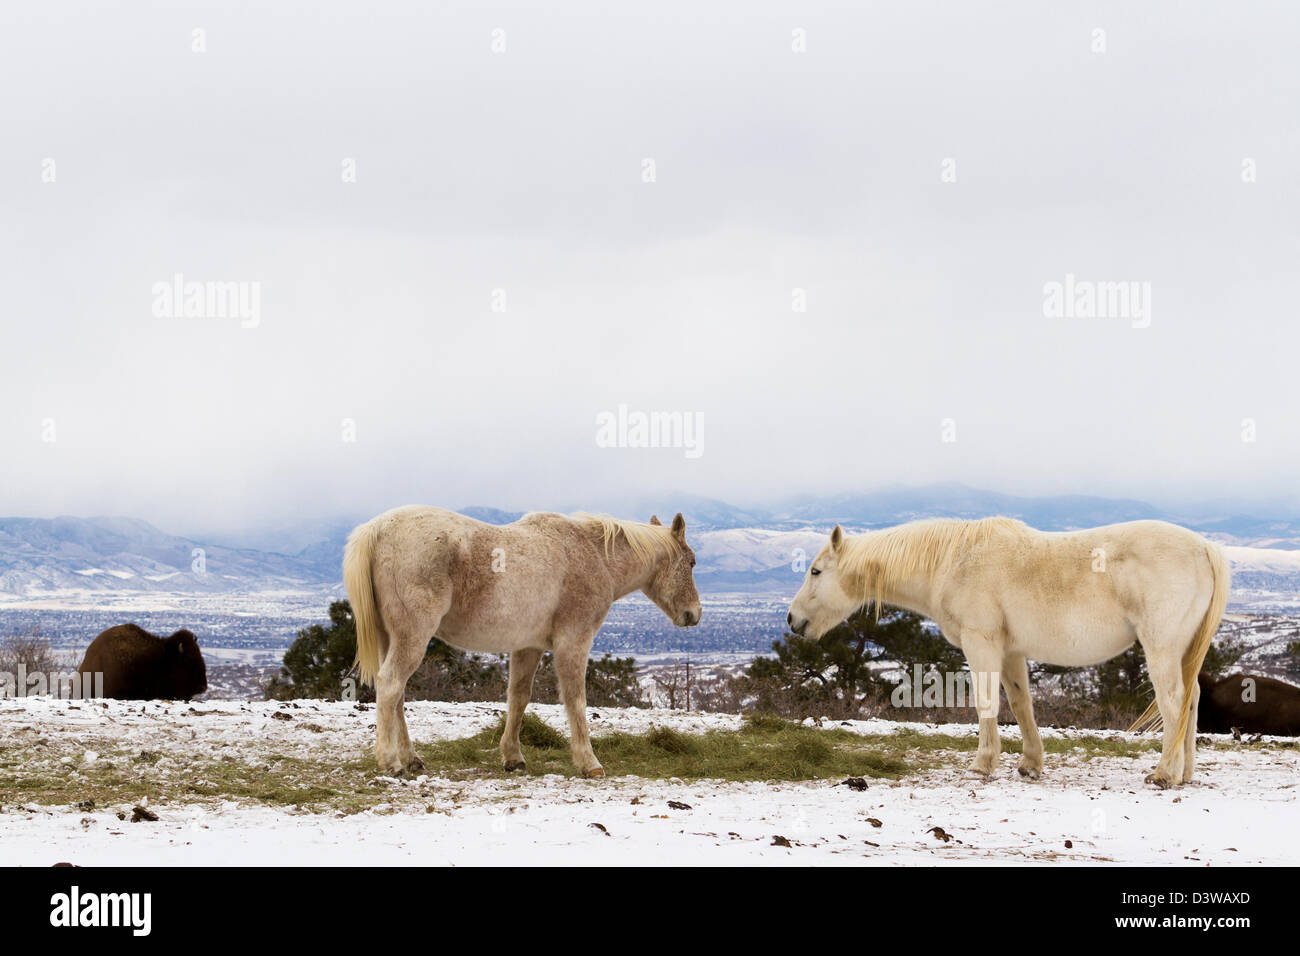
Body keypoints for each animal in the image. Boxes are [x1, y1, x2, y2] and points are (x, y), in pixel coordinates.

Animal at [343, 506, 701, 777]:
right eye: (692, 561)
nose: (694, 613)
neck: (592, 555)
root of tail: (377, 529)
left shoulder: (529, 647)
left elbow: (518, 698)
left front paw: (513, 757)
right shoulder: (573, 642)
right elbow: (576, 700)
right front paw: (589, 762)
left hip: (393, 638)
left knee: (398, 694)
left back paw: (410, 758)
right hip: (412, 637)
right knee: (391, 684)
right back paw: (391, 762)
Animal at [787, 518, 1229, 788]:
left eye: (816, 571)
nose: (792, 620)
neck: (953, 561)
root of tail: (1204, 547)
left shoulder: (981, 643)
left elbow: (986, 703)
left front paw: (983, 764)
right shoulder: (1011, 652)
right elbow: (1021, 705)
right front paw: (1030, 764)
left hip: (1161, 648)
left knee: (1172, 702)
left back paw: (1164, 774)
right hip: (1184, 652)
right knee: (1191, 700)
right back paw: (1185, 773)